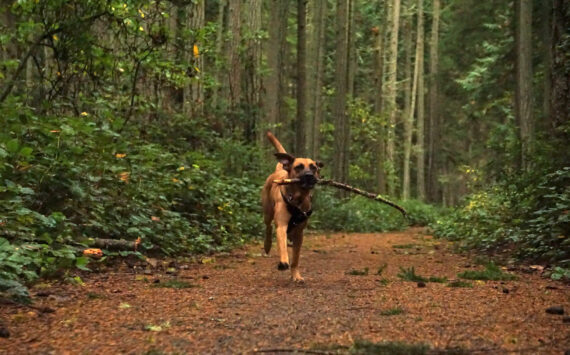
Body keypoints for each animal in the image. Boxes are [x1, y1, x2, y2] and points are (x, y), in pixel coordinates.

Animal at [260, 131, 322, 284]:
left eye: (313, 167)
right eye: (298, 167)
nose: (309, 176)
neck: (297, 198)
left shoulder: (299, 233)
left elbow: (296, 259)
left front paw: (296, 275)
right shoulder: (281, 224)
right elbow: (282, 246)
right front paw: (283, 262)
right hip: (267, 212)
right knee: (268, 227)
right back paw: (267, 244)